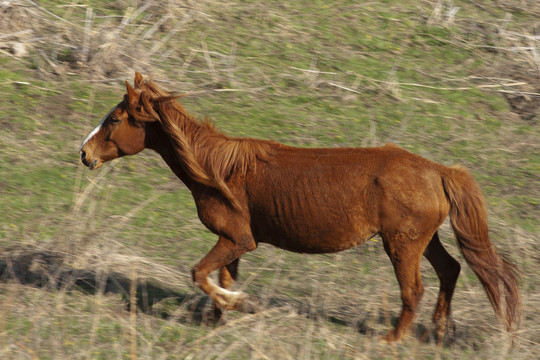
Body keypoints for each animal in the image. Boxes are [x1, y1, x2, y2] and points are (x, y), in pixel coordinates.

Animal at [78, 71, 520, 344]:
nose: (84, 154)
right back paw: (440, 332)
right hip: (423, 241)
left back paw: (392, 338)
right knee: (451, 270)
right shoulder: (236, 243)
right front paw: (219, 316)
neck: (218, 170)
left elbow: (200, 273)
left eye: (115, 119)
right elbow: (221, 276)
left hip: (402, 245)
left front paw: (237, 304)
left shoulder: (238, 239)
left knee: (414, 290)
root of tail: (439, 171)